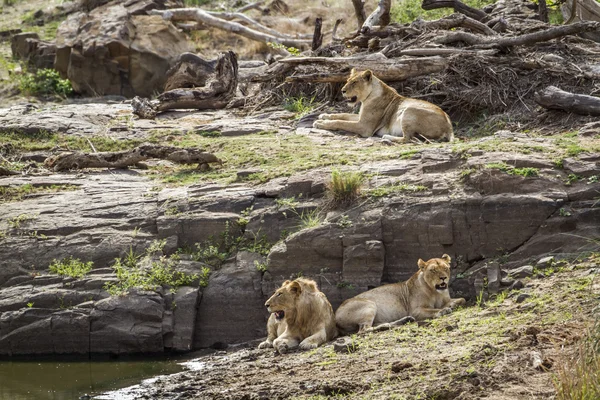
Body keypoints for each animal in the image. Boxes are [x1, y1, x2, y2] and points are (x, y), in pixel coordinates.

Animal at [312, 69, 452, 144]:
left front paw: (320, 123)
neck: (367, 98)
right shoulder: (361, 118)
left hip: (409, 110)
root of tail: (449, 126)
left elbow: (340, 122)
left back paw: (387, 137)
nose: (342, 91)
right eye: (347, 81)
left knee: (407, 138)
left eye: (355, 82)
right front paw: (324, 115)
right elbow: (343, 115)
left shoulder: (365, 127)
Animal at [336, 253, 466, 334]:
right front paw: (444, 310)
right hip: (369, 304)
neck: (435, 292)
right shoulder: (415, 310)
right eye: (433, 270)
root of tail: (335, 314)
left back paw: (403, 321)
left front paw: (452, 305)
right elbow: (433, 310)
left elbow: (462, 299)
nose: (443, 278)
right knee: (364, 330)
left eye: (446, 268)